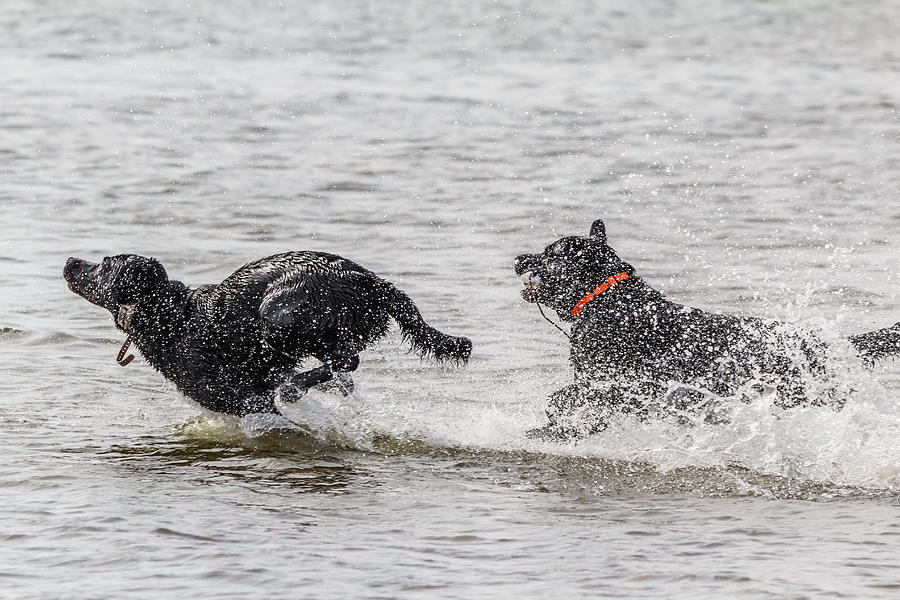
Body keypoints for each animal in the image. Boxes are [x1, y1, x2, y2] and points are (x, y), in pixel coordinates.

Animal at [65, 251, 472, 414]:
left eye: (103, 263)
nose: (70, 261)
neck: (174, 316)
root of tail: (369, 280)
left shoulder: (245, 402)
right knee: (343, 369)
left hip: (278, 312)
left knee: (347, 361)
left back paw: (293, 387)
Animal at [516, 218, 900, 438]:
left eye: (549, 252)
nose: (518, 258)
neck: (607, 297)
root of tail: (829, 344)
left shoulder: (621, 384)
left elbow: (562, 400)